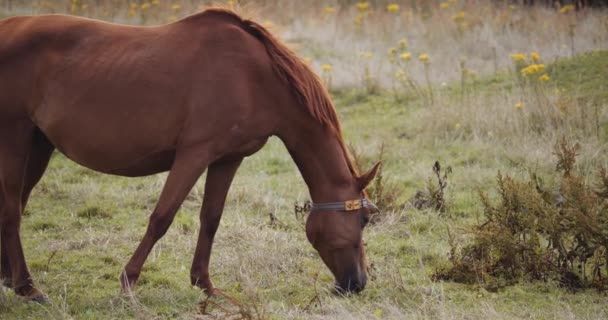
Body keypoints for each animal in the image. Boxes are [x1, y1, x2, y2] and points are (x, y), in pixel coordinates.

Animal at [0, 8, 378, 302]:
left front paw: (205, 286)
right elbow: (161, 218)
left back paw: (11, 280)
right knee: (12, 210)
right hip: (15, 138)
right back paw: (28, 288)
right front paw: (128, 283)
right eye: (363, 219)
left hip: (39, 144)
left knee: (17, 204)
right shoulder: (194, 155)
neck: (254, 77)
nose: (357, 283)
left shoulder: (227, 159)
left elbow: (210, 219)